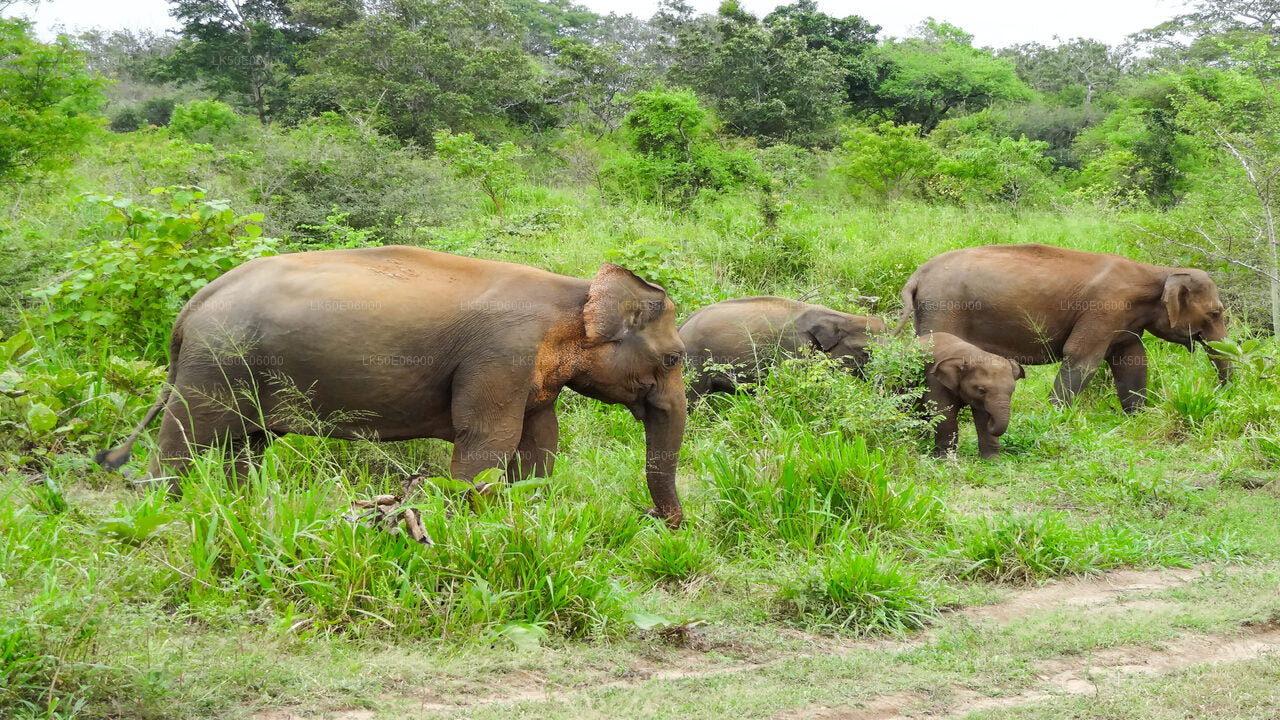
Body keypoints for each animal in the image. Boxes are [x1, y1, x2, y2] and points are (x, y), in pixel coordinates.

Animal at [96, 243, 691, 525]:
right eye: (673, 357)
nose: (660, 522)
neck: (575, 292)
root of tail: (193, 305)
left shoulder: (531, 374)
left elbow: (540, 445)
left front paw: (528, 517)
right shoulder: (501, 356)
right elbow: (488, 443)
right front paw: (465, 527)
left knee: (247, 444)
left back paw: (243, 507)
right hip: (214, 366)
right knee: (185, 440)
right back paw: (163, 511)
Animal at [890, 242, 1228, 412]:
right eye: (1215, 313)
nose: (1221, 392)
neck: (1159, 272)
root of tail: (916, 276)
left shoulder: (1123, 321)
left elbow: (1132, 359)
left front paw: (1139, 416)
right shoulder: (1105, 309)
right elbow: (1082, 358)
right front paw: (1055, 416)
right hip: (943, 309)